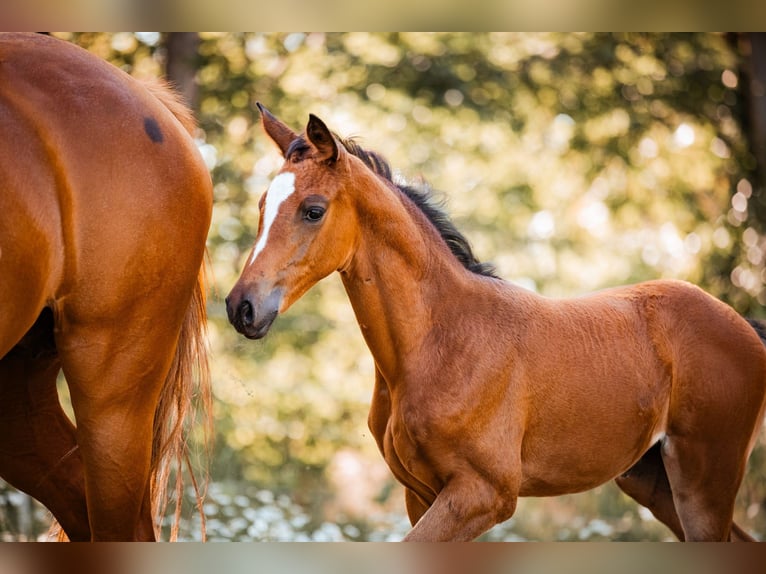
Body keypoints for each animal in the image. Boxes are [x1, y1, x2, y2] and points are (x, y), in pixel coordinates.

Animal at [230, 106, 766, 544]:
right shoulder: (420, 495)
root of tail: (742, 324)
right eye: (261, 206)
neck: (439, 341)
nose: (242, 307)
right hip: (653, 481)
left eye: (313, 210)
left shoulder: (483, 495)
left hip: (704, 480)